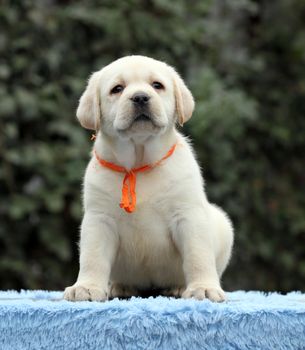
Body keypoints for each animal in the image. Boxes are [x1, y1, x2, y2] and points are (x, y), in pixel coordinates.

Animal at [63, 56, 232, 302]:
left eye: (157, 85)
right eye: (117, 89)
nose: (141, 97)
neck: (139, 163)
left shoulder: (188, 215)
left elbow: (197, 255)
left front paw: (204, 287)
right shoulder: (99, 219)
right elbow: (92, 257)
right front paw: (86, 287)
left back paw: (178, 286)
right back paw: (120, 286)